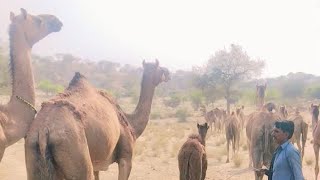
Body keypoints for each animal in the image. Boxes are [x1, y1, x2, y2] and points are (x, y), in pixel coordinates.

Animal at [25, 60, 170, 180]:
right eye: (161, 68)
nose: (169, 74)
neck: (131, 124)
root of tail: (43, 131)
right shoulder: (126, 158)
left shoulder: (96, 166)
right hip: (77, 154)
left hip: (33, 153)